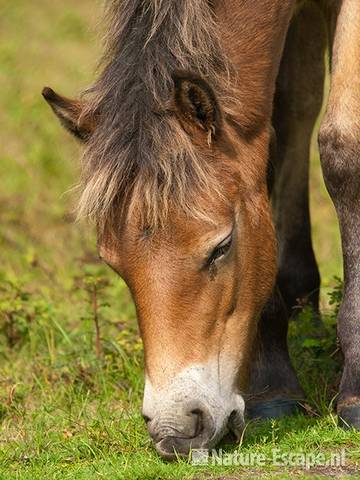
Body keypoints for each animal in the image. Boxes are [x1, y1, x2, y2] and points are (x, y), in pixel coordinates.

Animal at [42, 0, 360, 460]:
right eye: (113, 264)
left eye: (221, 247)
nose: (176, 430)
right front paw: (274, 385)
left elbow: (343, 148)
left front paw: (354, 394)